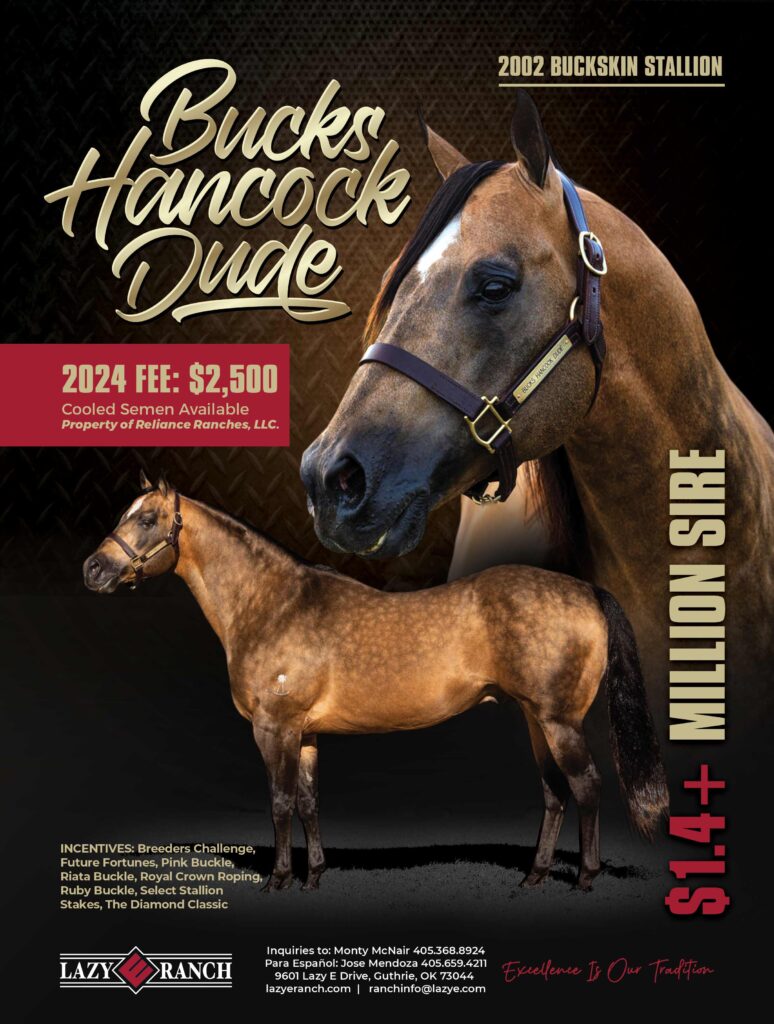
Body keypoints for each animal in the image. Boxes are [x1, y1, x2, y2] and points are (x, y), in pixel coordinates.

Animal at [83, 473, 668, 893]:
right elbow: (308, 801)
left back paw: (585, 878)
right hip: (535, 720)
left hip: (558, 721)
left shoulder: (275, 729)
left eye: (148, 519)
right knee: (554, 793)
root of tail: (586, 591)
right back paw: (534, 876)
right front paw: (314, 876)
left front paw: (278, 879)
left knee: (585, 787)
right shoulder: (306, 733)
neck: (275, 605)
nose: (93, 569)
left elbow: (279, 801)